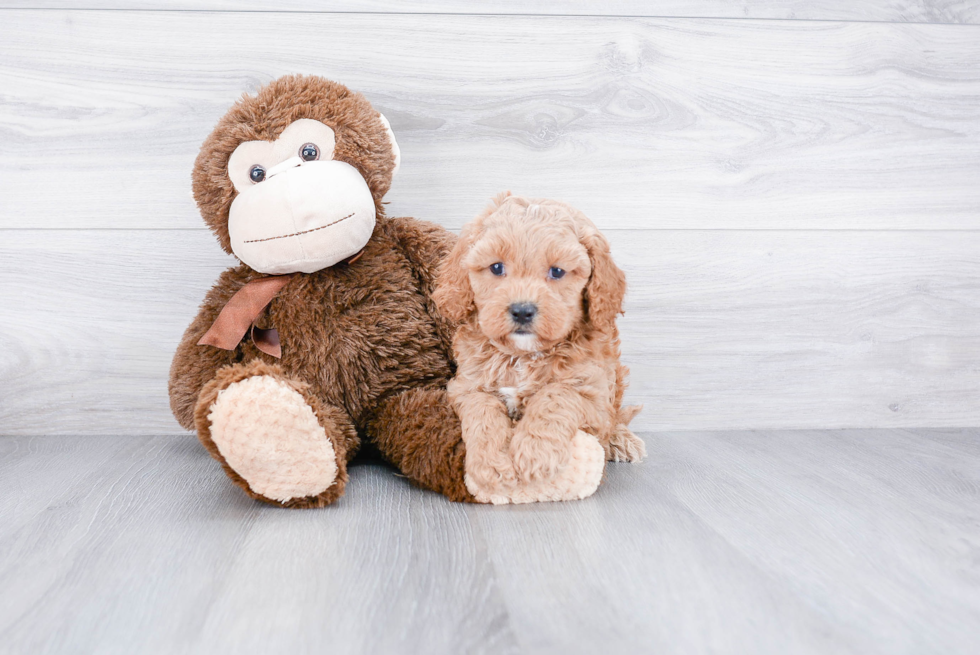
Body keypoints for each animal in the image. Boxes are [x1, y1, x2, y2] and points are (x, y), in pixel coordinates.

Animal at [434, 192, 644, 504]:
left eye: (557, 271)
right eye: (496, 267)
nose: (522, 311)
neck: (522, 356)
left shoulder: (594, 398)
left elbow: (556, 395)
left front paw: (536, 453)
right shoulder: (466, 387)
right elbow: (482, 411)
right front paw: (491, 465)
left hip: (615, 379)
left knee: (618, 416)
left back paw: (623, 440)